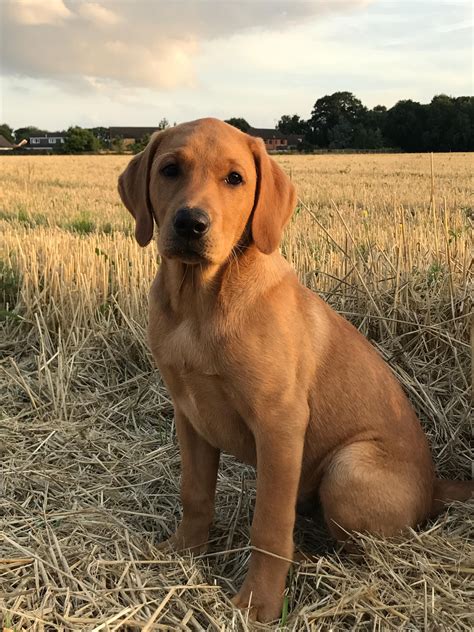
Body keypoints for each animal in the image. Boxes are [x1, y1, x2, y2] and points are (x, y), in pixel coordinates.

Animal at [117, 117, 470, 624]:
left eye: (235, 179)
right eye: (169, 170)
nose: (190, 223)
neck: (199, 302)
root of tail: (434, 488)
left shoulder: (280, 424)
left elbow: (269, 527)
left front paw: (258, 604)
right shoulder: (189, 416)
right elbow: (195, 493)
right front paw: (183, 552)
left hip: (348, 469)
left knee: (362, 551)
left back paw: (307, 559)